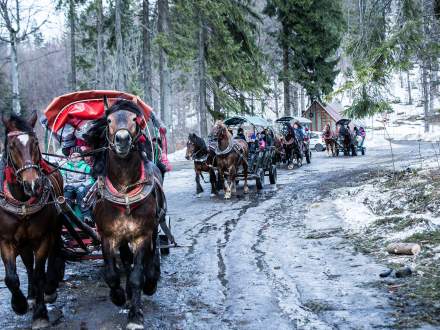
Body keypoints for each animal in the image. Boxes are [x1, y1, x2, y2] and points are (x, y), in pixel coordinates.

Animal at [0, 114, 64, 330]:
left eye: (35, 142)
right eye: (11, 146)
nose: (33, 184)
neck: (22, 204)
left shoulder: (43, 238)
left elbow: (39, 274)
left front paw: (41, 314)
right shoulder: (6, 240)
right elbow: (11, 277)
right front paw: (19, 304)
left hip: (54, 230)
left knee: (52, 255)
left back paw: (48, 288)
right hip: (23, 242)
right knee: (27, 264)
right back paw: (30, 296)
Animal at [87, 99, 166, 328]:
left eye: (135, 120)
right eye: (109, 121)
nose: (122, 139)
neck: (125, 192)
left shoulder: (142, 235)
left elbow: (137, 275)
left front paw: (135, 315)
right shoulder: (108, 236)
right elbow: (112, 274)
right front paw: (119, 296)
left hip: (154, 228)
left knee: (152, 256)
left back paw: (151, 280)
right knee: (125, 259)